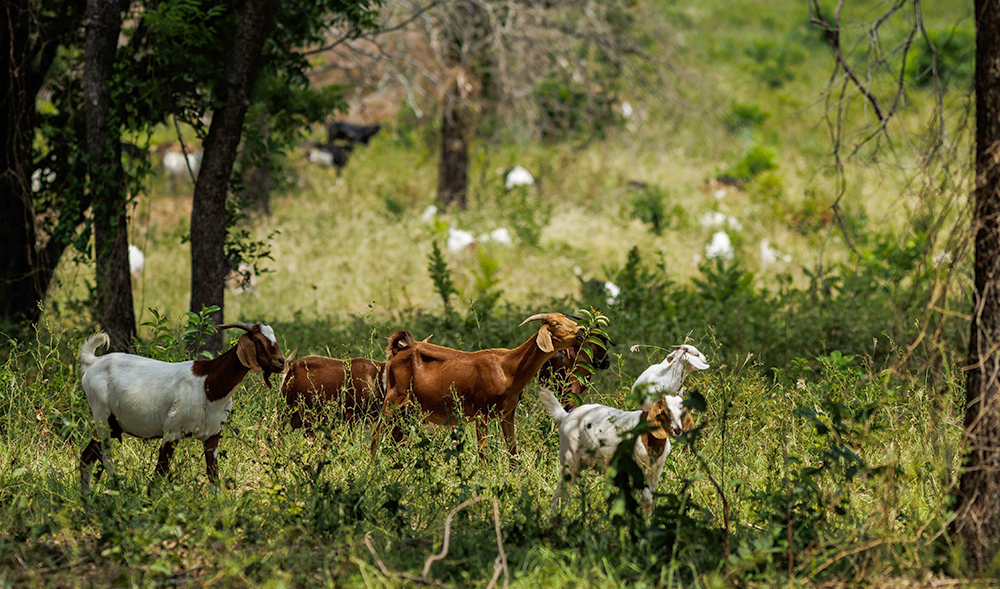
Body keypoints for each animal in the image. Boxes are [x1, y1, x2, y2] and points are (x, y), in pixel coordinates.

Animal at [78, 323, 285, 491]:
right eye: (258, 341)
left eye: (275, 339)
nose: (281, 362)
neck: (210, 384)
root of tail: (94, 363)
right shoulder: (172, 431)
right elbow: (159, 473)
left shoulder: (213, 435)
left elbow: (213, 476)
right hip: (102, 416)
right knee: (105, 457)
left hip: (114, 424)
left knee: (86, 457)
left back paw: (86, 501)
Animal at [371, 313, 584, 457]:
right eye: (556, 323)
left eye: (569, 320)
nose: (581, 330)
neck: (509, 368)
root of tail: (398, 352)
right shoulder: (481, 412)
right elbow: (483, 452)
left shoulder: (508, 413)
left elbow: (512, 449)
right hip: (393, 398)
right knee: (376, 434)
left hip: (409, 409)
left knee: (397, 437)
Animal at [539, 387, 692, 515]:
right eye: (665, 411)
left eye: (682, 411)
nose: (677, 430)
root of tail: (565, 416)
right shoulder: (636, 467)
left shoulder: (656, 470)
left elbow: (649, 498)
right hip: (569, 456)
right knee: (566, 487)